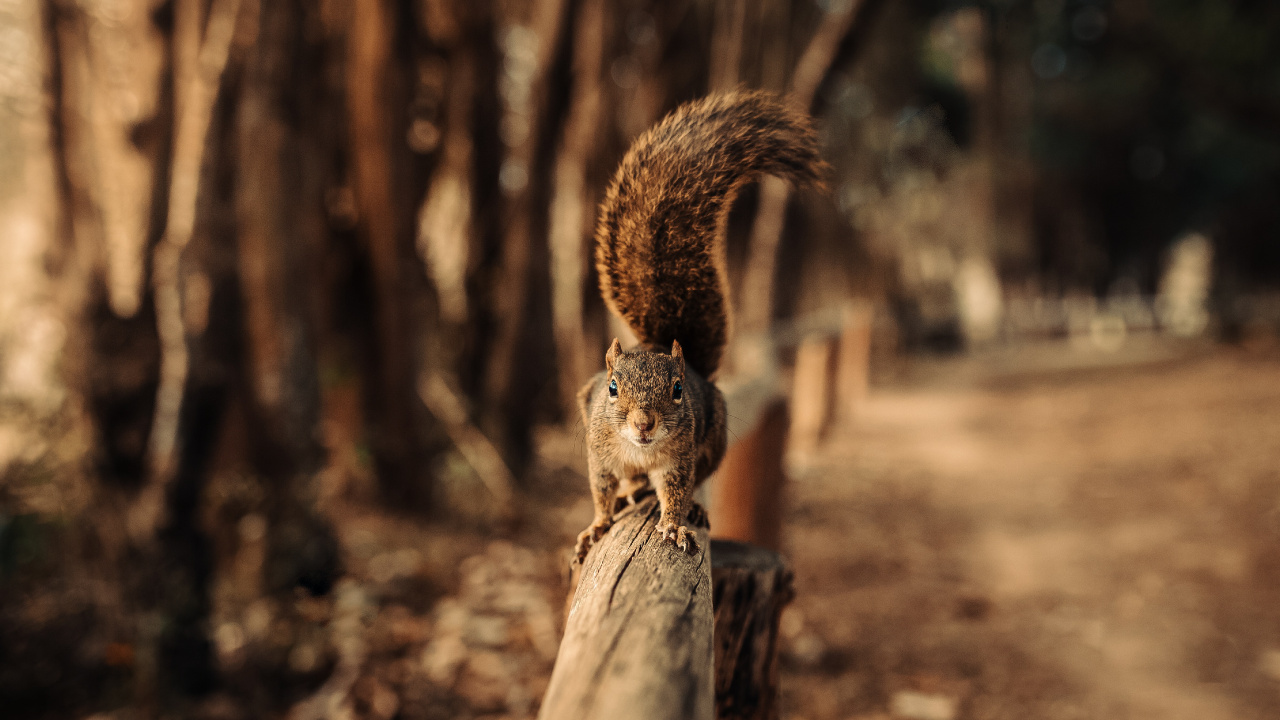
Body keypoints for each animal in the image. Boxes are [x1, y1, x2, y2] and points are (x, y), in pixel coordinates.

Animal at [574, 91, 827, 562]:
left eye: (677, 390)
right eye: (612, 388)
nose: (644, 423)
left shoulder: (680, 459)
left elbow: (675, 492)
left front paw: (674, 524)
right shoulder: (600, 456)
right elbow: (600, 492)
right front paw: (596, 525)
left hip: (713, 439)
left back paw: (687, 506)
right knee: (628, 485)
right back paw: (630, 493)